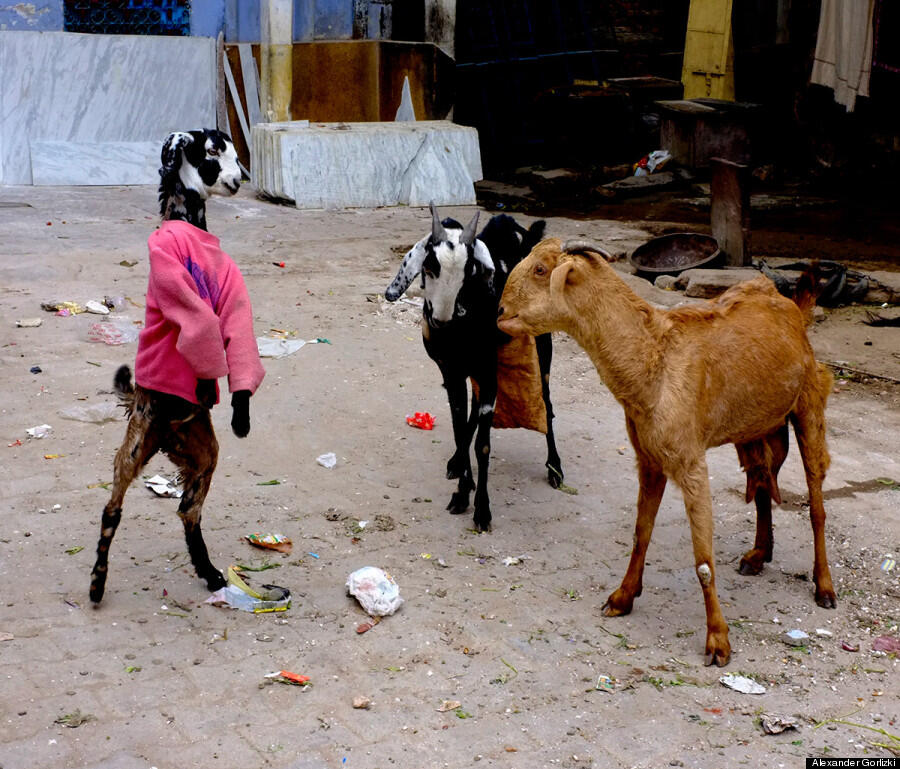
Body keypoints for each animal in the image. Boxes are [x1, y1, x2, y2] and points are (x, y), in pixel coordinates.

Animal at [384, 201, 564, 532]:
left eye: (469, 271)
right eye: (429, 265)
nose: (441, 320)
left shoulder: (487, 370)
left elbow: (482, 444)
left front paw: (481, 508)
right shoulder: (451, 372)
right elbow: (459, 427)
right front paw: (462, 490)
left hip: (542, 350)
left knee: (546, 405)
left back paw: (555, 468)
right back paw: (456, 462)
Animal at [496, 240, 832, 664]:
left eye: (541, 269)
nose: (500, 313)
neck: (653, 360)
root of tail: (793, 309)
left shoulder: (690, 461)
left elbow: (703, 561)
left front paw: (718, 640)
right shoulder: (650, 458)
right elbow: (641, 532)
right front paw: (622, 597)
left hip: (809, 404)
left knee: (817, 505)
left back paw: (824, 586)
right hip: (755, 428)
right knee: (761, 484)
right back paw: (758, 554)